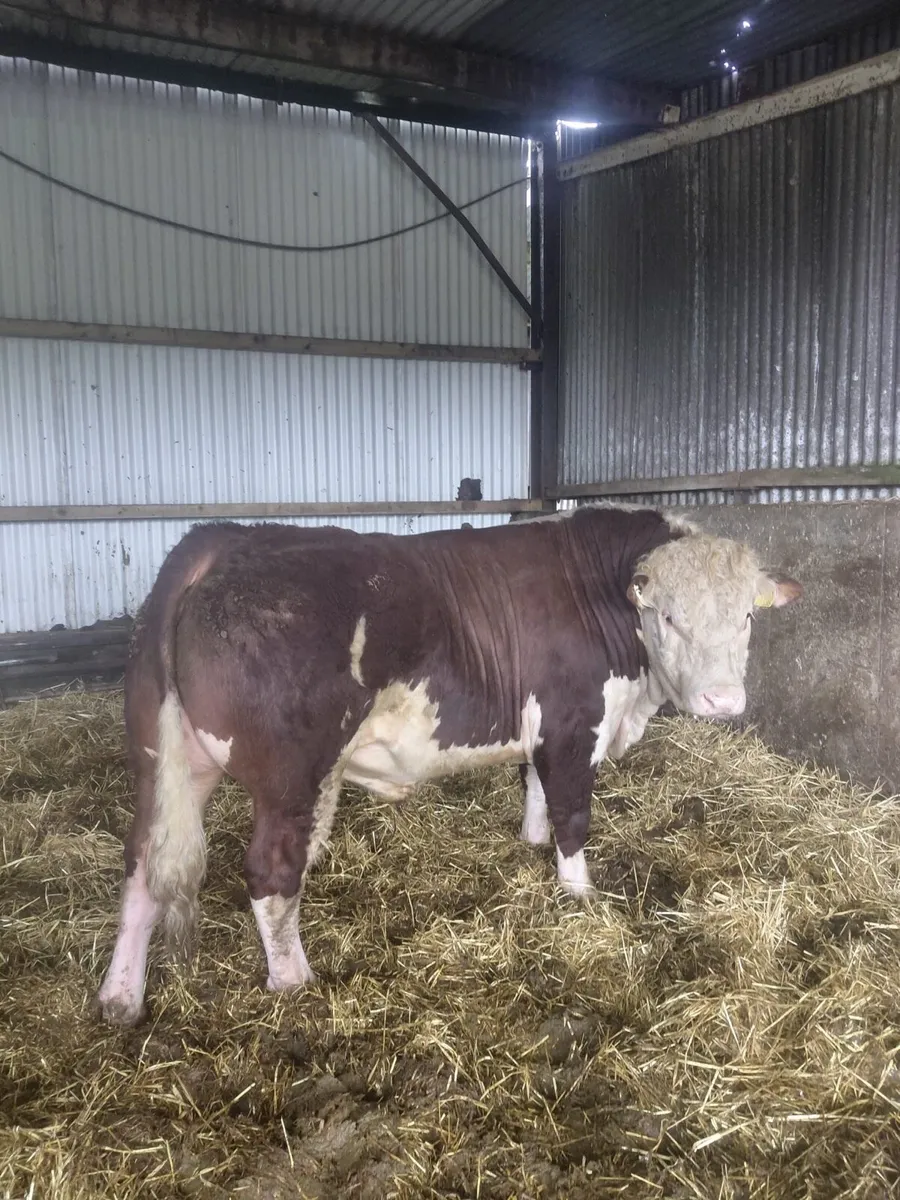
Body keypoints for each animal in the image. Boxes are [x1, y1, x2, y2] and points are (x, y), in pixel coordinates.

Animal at [96, 504, 802, 1026]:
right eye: (669, 616)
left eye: (746, 614)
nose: (723, 700)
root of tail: (226, 537)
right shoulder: (574, 724)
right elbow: (573, 813)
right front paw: (579, 895)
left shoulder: (539, 729)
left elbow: (537, 790)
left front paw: (531, 843)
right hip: (292, 776)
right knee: (271, 874)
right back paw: (295, 982)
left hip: (165, 759)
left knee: (142, 864)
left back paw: (121, 996)